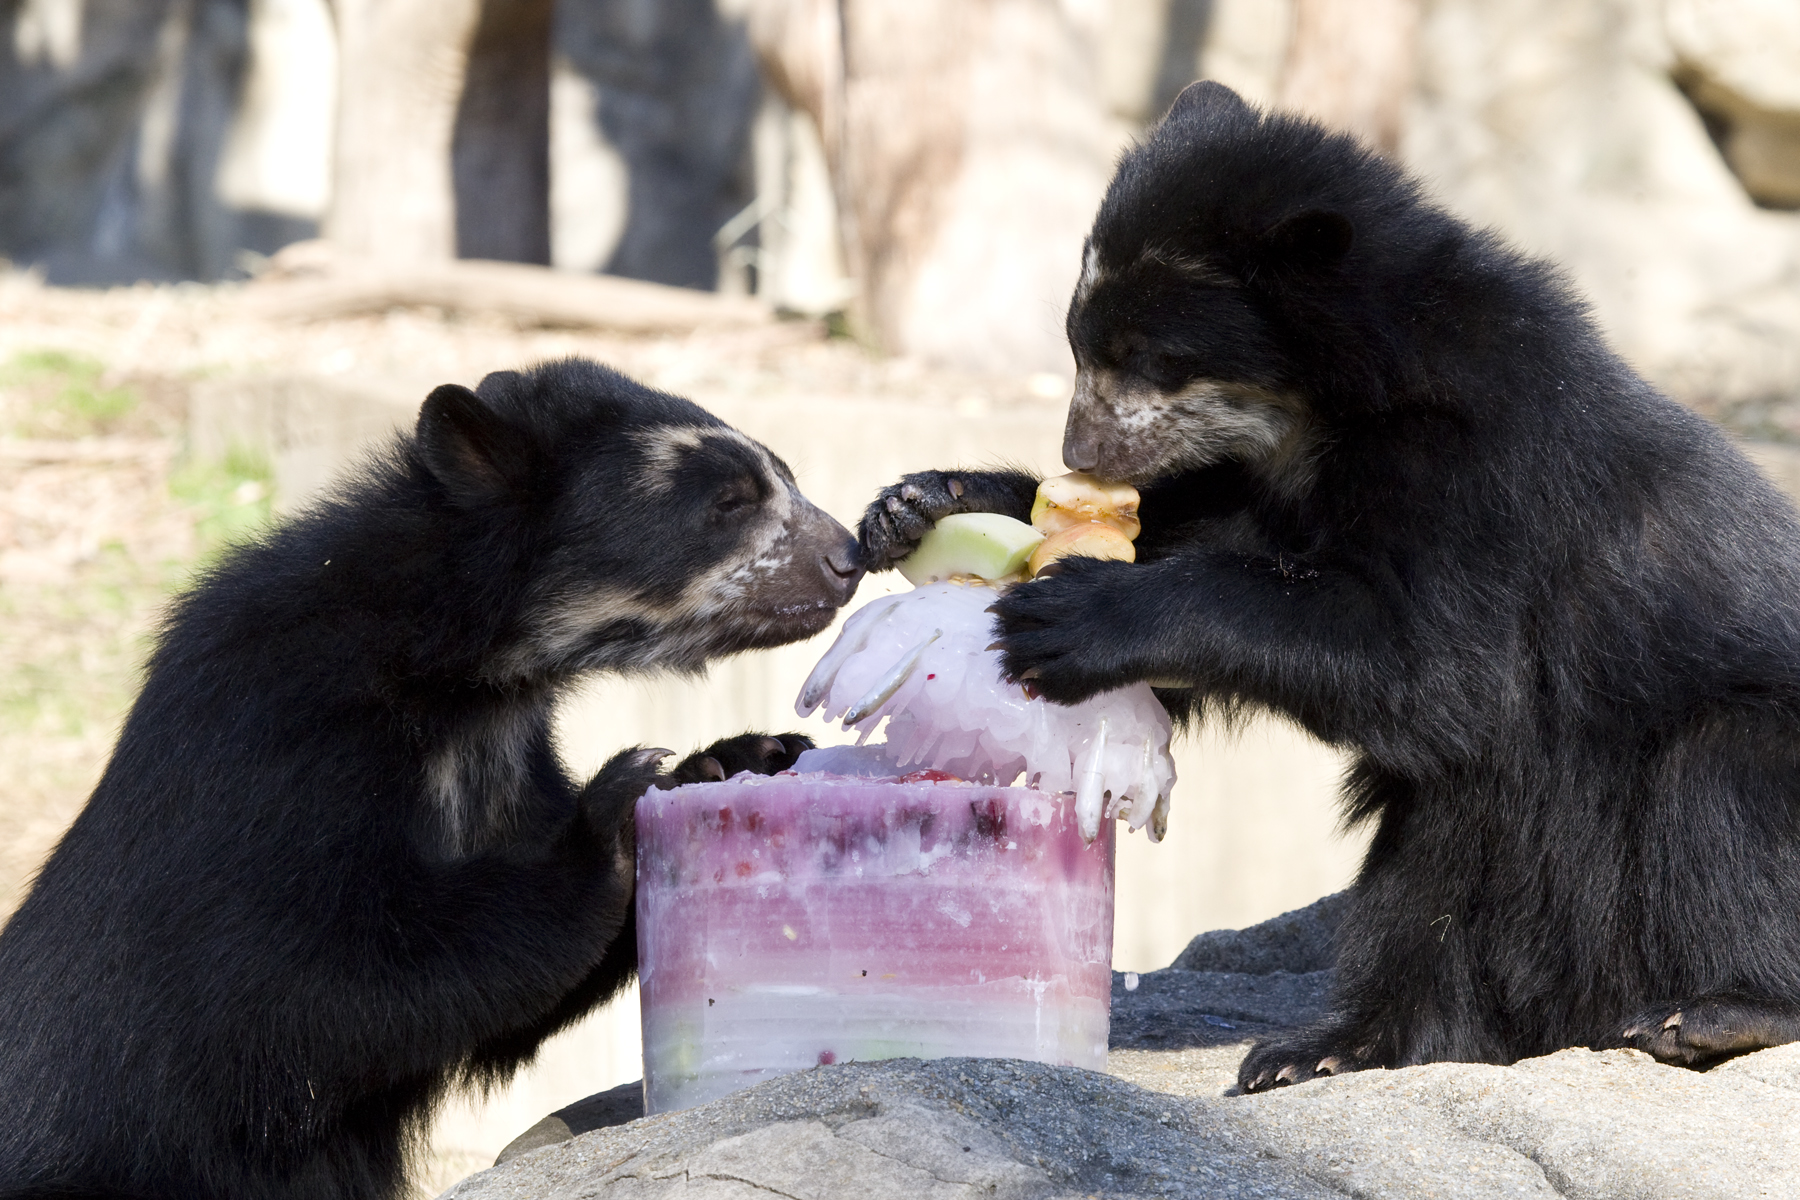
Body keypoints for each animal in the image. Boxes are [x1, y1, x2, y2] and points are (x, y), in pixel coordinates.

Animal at [0, 359, 864, 1200]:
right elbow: (311, 976)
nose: (848, 558)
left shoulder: (504, 762)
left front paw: (739, 758)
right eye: (727, 502)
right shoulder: (277, 748)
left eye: (783, 474)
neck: (468, 677)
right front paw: (614, 814)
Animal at [856, 82, 1800, 1086]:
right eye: (1078, 343)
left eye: (1153, 356)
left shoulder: (1480, 474)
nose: (1084, 449)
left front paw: (1073, 612)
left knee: (1717, 782)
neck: (1314, 419)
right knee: (1429, 870)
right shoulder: (1260, 486)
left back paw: (1714, 1012)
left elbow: (1434, 666)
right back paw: (1328, 1049)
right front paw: (922, 503)